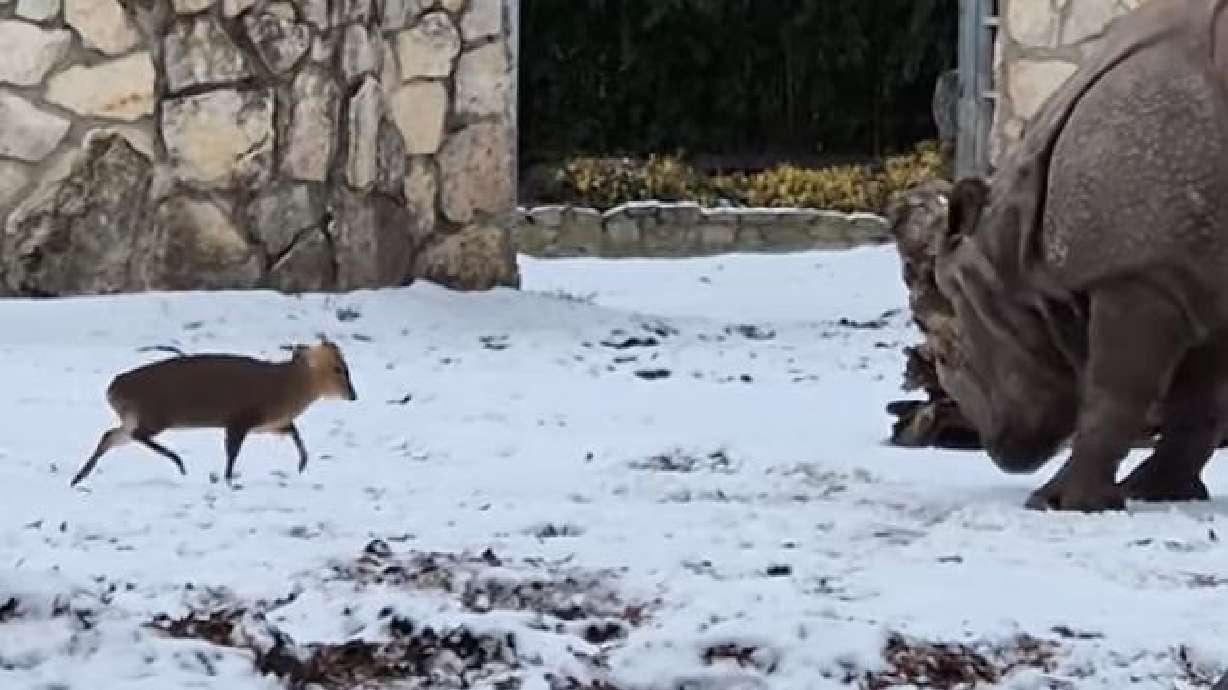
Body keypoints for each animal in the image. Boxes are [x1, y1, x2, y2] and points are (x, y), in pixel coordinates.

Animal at [69, 336, 358, 488]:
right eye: (338, 369)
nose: (353, 395)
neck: (288, 386)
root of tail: (112, 389)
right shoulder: (240, 419)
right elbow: (232, 452)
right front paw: (229, 480)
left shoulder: (269, 423)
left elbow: (295, 434)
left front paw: (302, 464)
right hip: (155, 414)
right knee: (135, 435)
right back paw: (179, 463)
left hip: (135, 416)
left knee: (110, 435)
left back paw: (78, 478)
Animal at [935, 0, 1228, 511]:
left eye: (954, 349)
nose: (996, 449)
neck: (1015, 245)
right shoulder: (1195, 273)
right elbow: (1199, 397)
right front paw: (1158, 493)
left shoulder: (1142, 273)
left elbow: (1117, 388)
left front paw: (1058, 503)